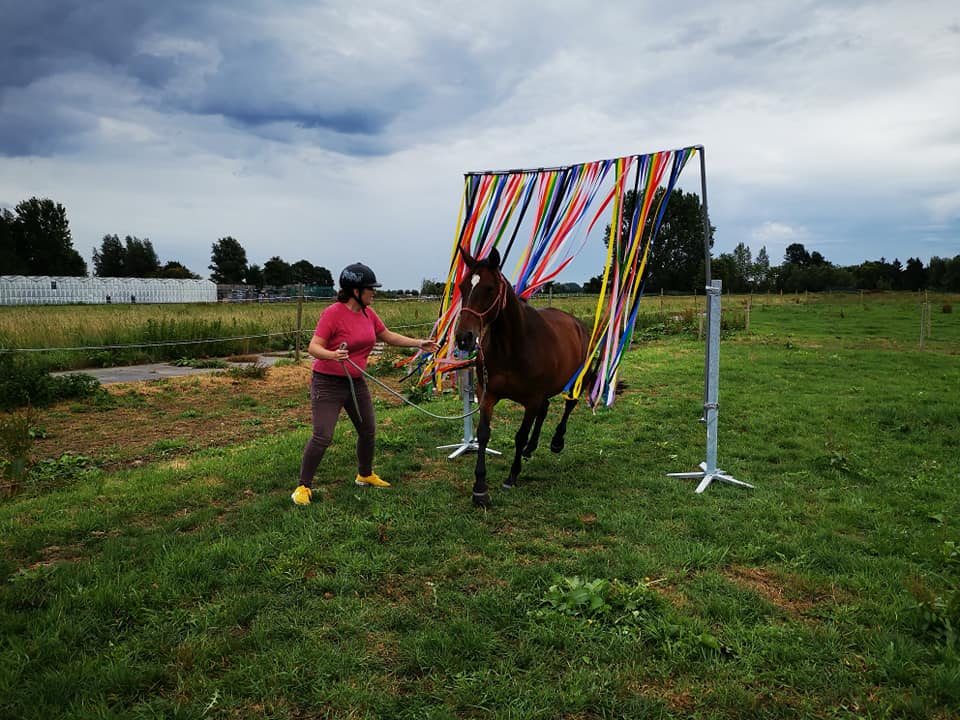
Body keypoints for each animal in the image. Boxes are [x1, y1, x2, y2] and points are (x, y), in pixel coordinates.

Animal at [452, 248, 592, 506]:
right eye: (463, 286)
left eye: (490, 288)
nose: (463, 338)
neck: (512, 347)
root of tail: (577, 323)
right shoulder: (487, 395)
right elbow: (483, 434)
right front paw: (480, 487)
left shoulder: (531, 400)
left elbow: (519, 436)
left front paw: (511, 476)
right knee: (545, 410)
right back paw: (531, 448)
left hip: (576, 380)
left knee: (569, 404)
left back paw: (557, 441)